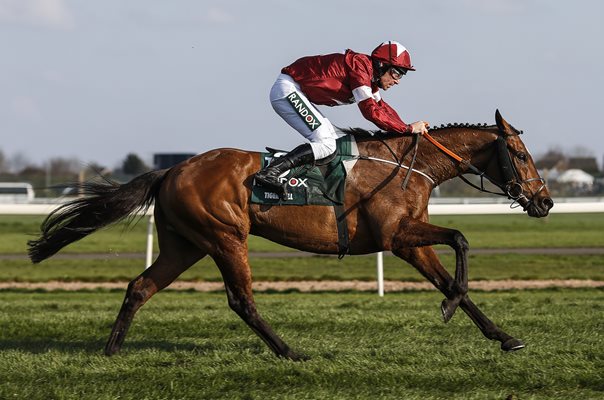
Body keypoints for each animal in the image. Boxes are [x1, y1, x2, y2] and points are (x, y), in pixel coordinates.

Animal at [30, 108, 556, 360]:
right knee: (241, 300)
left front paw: (505, 337)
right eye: (521, 155)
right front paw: (449, 309)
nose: (545, 201)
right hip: (225, 237)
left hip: (186, 244)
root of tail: (173, 169)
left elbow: (451, 276)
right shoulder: (397, 235)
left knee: (140, 286)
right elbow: (461, 240)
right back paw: (289, 351)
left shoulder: (407, 242)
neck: (410, 167)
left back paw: (111, 350)